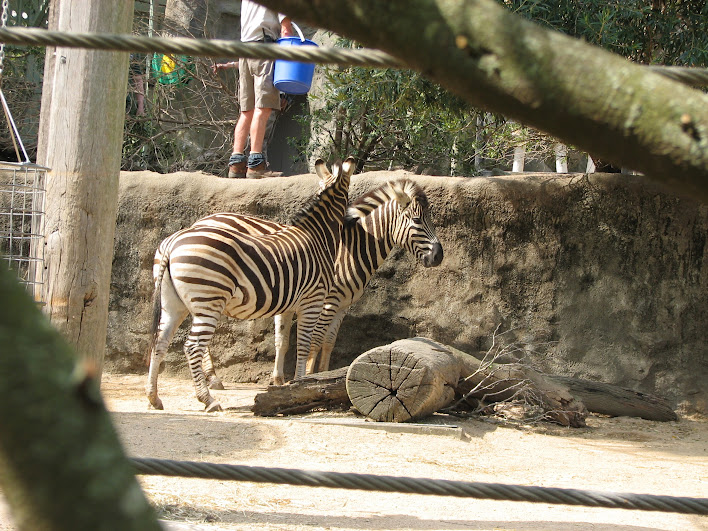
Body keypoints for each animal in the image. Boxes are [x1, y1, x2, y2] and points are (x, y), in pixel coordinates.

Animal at [145, 157, 355, 411]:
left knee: (159, 342)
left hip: (173, 303)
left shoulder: (289, 305)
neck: (318, 236)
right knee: (192, 347)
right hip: (208, 299)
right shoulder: (312, 301)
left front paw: (285, 383)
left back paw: (154, 397)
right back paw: (208, 399)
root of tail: (172, 244)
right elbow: (304, 344)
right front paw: (302, 383)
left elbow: (283, 341)